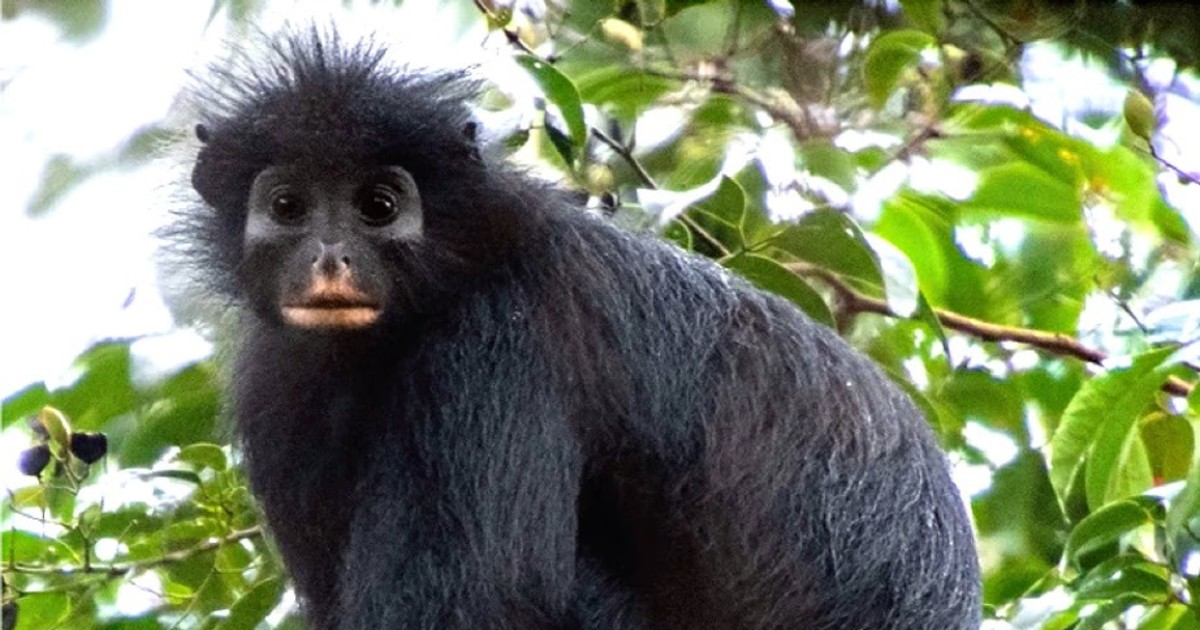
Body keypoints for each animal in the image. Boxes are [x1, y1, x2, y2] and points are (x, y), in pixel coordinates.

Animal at [172, 29, 981, 630]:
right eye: (288, 206)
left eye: (377, 206)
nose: (330, 258)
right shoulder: (278, 384)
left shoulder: (498, 340)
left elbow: (485, 599)